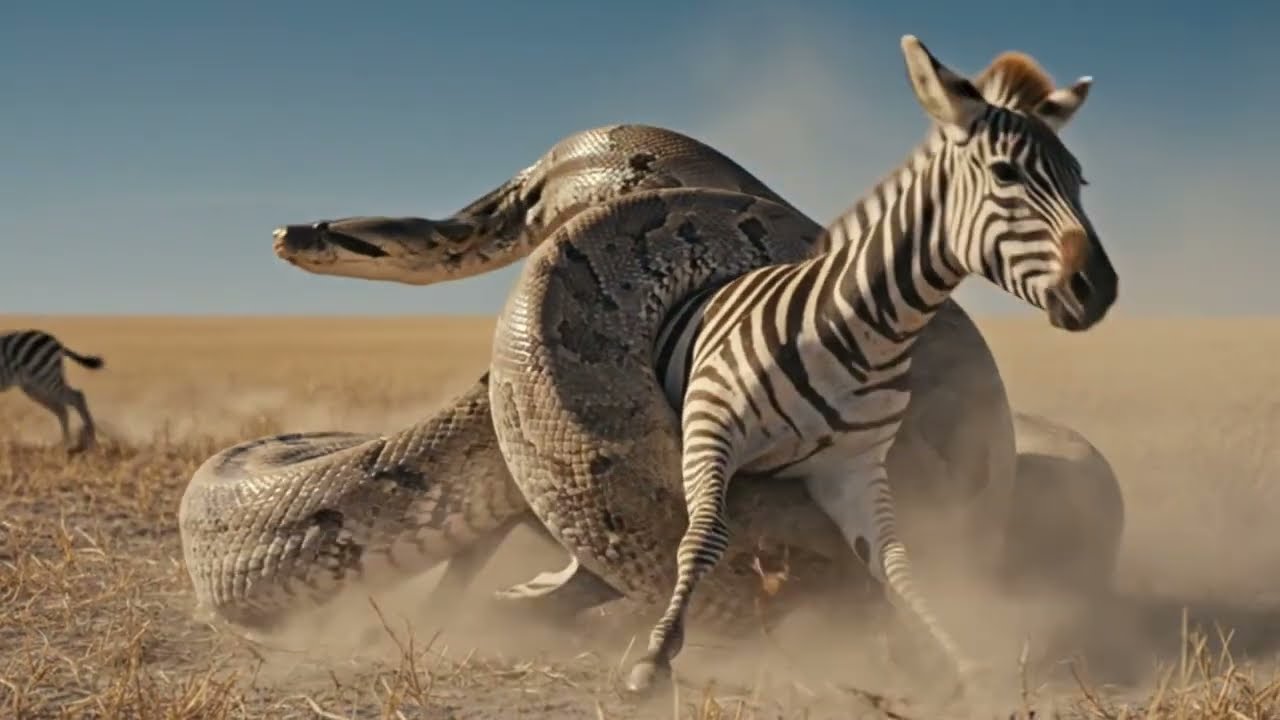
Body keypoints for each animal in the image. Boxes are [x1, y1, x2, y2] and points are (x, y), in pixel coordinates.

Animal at [626, 35, 1119, 696]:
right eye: (1005, 173)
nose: (1101, 289)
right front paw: (656, 655)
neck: (865, 331)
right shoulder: (710, 427)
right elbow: (703, 535)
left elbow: (897, 565)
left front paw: (958, 660)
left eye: (1080, 180)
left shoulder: (852, 469)